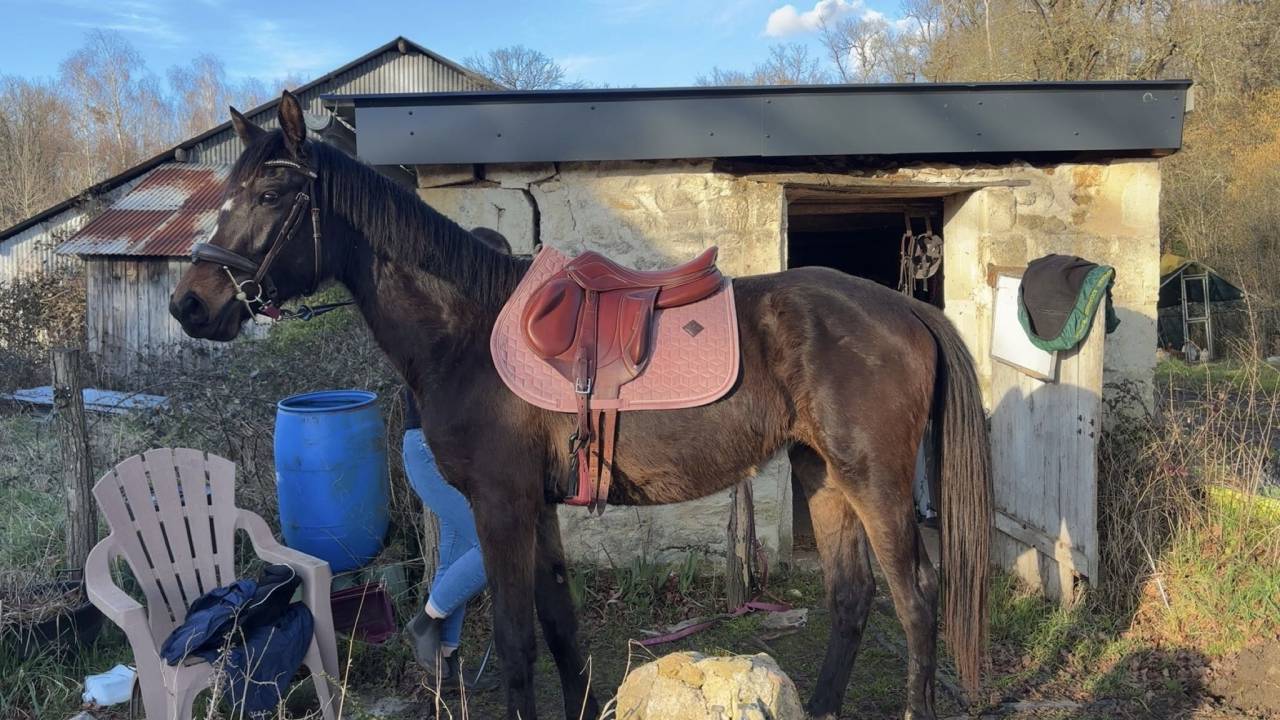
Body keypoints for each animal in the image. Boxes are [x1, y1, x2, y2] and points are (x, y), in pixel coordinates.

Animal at [170, 90, 992, 720]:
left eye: (270, 195)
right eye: (227, 195)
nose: (190, 305)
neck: (467, 330)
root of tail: (904, 307)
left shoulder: (500, 505)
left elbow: (515, 641)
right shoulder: (536, 507)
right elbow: (561, 629)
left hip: (874, 480)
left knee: (916, 600)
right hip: (821, 474)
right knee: (852, 598)